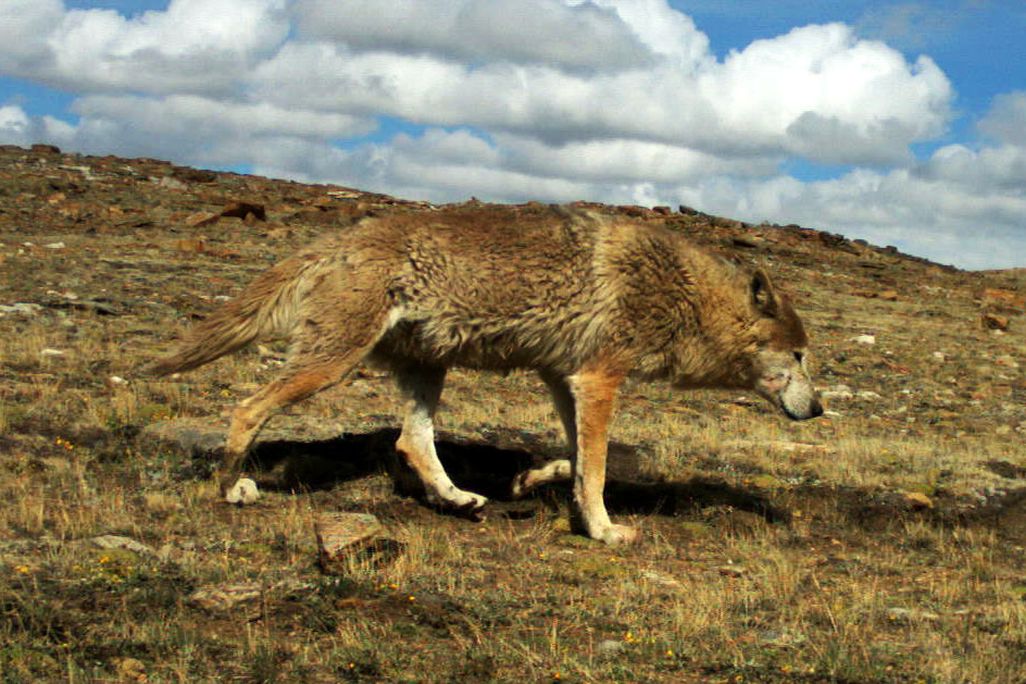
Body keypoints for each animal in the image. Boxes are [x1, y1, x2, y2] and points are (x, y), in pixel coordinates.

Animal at [149, 203, 821, 545]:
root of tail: (339, 239)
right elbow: (598, 470)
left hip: (427, 370)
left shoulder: (563, 380)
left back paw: (458, 500)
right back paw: (232, 488)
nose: (817, 409)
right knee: (247, 409)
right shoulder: (599, 380)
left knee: (411, 441)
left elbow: (575, 461)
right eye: (798, 357)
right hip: (330, 365)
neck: (682, 295)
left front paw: (530, 483)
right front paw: (604, 531)